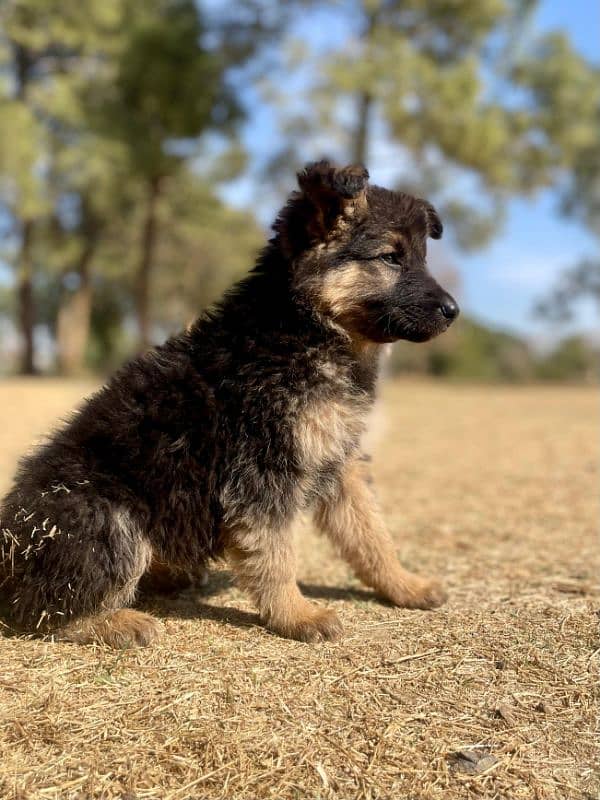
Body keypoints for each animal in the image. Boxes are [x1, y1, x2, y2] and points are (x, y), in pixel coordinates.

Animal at [1, 161, 460, 644]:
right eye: (391, 257)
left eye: (422, 258)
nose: (454, 312)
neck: (307, 327)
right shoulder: (262, 471)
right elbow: (276, 552)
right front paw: (297, 614)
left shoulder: (340, 462)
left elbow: (371, 534)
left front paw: (406, 585)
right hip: (104, 515)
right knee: (48, 607)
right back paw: (117, 622)